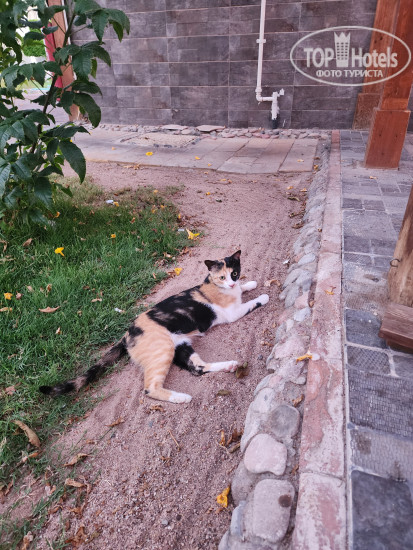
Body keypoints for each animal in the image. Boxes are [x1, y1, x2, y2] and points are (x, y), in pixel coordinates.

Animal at [39, 250, 269, 403]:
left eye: (235, 273)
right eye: (222, 276)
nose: (231, 283)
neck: (212, 284)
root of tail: (126, 335)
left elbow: (244, 289)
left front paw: (249, 284)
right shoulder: (233, 313)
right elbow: (251, 303)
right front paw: (263, 296)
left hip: (180, 345)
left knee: (197, 368)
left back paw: (229, 366)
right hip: (163, 351)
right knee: (150, 389)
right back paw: (182, 397)